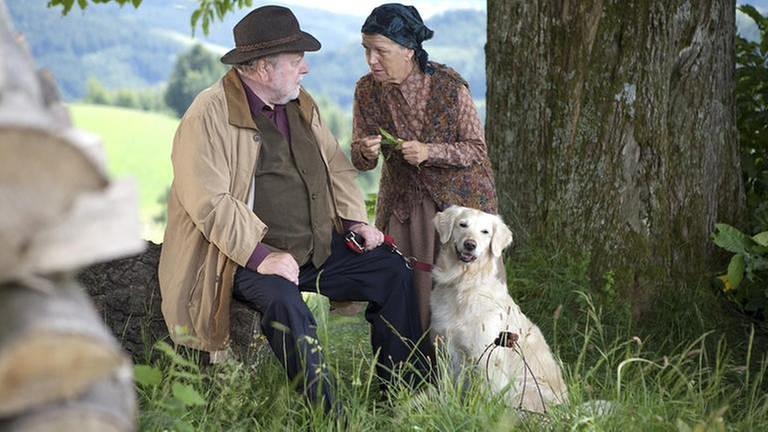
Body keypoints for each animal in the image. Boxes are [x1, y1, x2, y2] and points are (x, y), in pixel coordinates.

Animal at [428, 208, 568, 414]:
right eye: (463, 224)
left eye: (485, 232)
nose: (470, 244)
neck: (464, 284)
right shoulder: (446, 350)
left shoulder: (488, 355)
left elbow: (485, 395)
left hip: (522, 388)